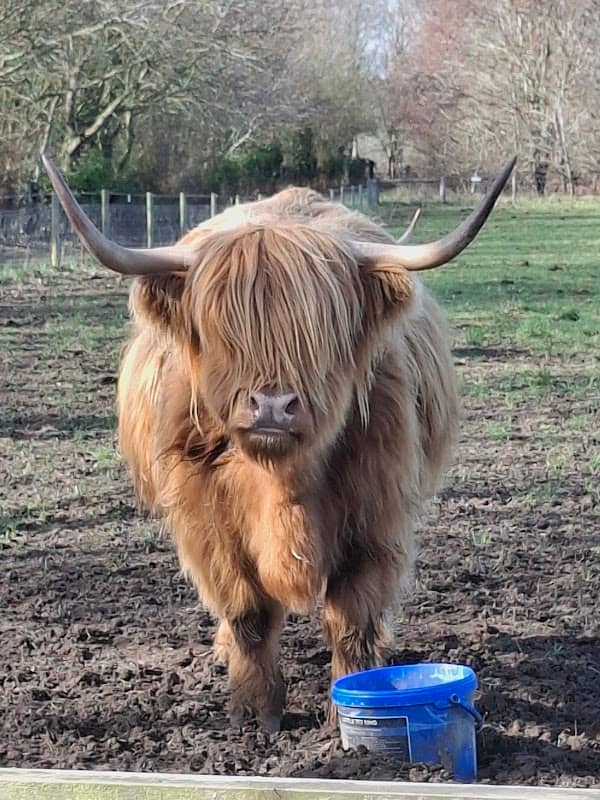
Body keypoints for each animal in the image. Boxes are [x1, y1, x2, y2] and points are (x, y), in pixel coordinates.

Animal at [42, 153, 516, 732]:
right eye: (225, 331)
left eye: (318, 334)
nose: (271, 406)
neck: (282, 484)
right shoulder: (205, 518)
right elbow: (247, 609)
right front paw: (254, 711)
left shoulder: (377, 514)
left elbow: (352, 614)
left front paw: (345, 708)